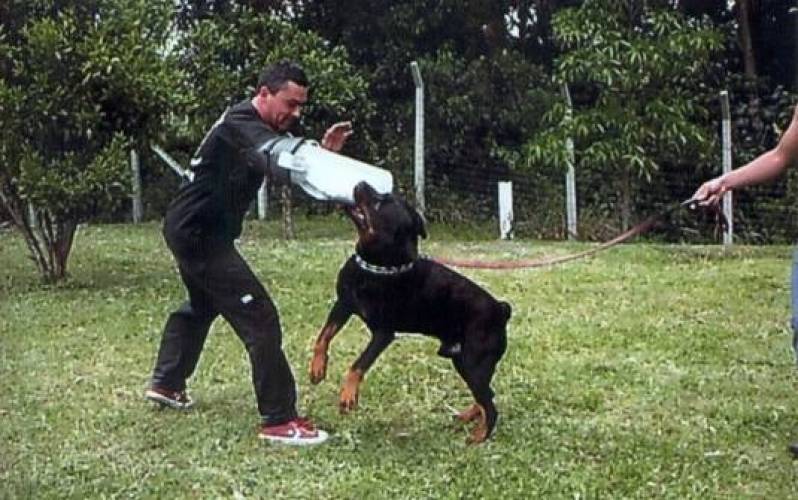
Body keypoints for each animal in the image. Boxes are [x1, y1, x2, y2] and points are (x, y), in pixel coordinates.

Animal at [308, 182, 512, 444]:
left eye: (379, 203)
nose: (361, 183)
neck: (376, 267)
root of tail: (501, 309)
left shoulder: (383, 333)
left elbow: (358, 364)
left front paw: (348, 395)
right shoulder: (343, 305)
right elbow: (323, 337)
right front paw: (317, 368)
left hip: (473, 362)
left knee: (490, 405)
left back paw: (478, 437)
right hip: (464, 361)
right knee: (487, 395)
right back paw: (469, 417)